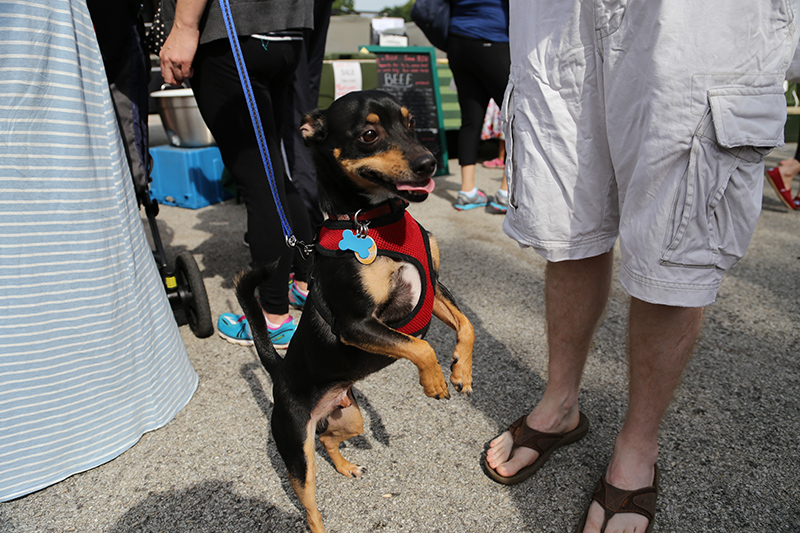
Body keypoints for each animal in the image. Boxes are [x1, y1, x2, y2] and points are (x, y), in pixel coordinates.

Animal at [238, 89, 476, 528]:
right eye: (369, 134)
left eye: (411, 123)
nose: (429, 162)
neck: (377, 222)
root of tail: (280, 373)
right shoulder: (357, 324)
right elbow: (420, 347)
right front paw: (434, 380)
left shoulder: (433, 290)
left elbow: (465, 325)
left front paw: (460, 371)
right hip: (296, 449)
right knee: (309, 503)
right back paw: (320, 523)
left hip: (351, 417)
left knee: (329, 438)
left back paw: (347, 466)